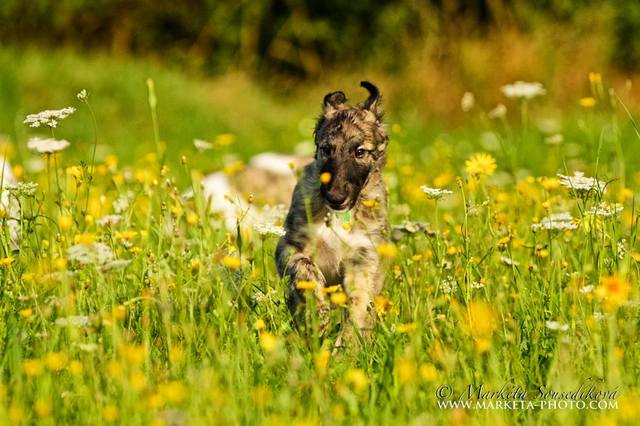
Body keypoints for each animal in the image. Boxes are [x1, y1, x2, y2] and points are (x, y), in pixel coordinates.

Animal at [276, 82, 390, 342]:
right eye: (326, 149)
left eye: (360, 152)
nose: (335, 197)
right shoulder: (290, 244)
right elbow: (304, 267)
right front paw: (317, 313)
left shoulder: (363, 259)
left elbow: (358, 305)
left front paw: (347, 344)